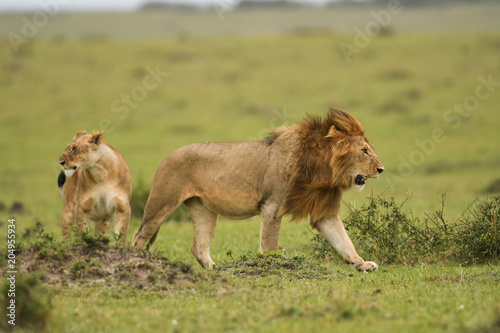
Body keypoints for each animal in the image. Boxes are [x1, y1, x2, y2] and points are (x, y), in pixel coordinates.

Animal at [132, 109, 382, 270]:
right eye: (365, 150)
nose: (381, 169)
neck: (321, 170)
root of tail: (168, 156)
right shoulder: (271, 206)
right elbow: (270, 244)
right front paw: (271, 266)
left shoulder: (324, 213)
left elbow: (343, 240)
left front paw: (361, 264)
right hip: (161, 202)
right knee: (139, 235)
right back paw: (137, 261)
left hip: (204, 211)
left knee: (199, 247)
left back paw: (216, 270)